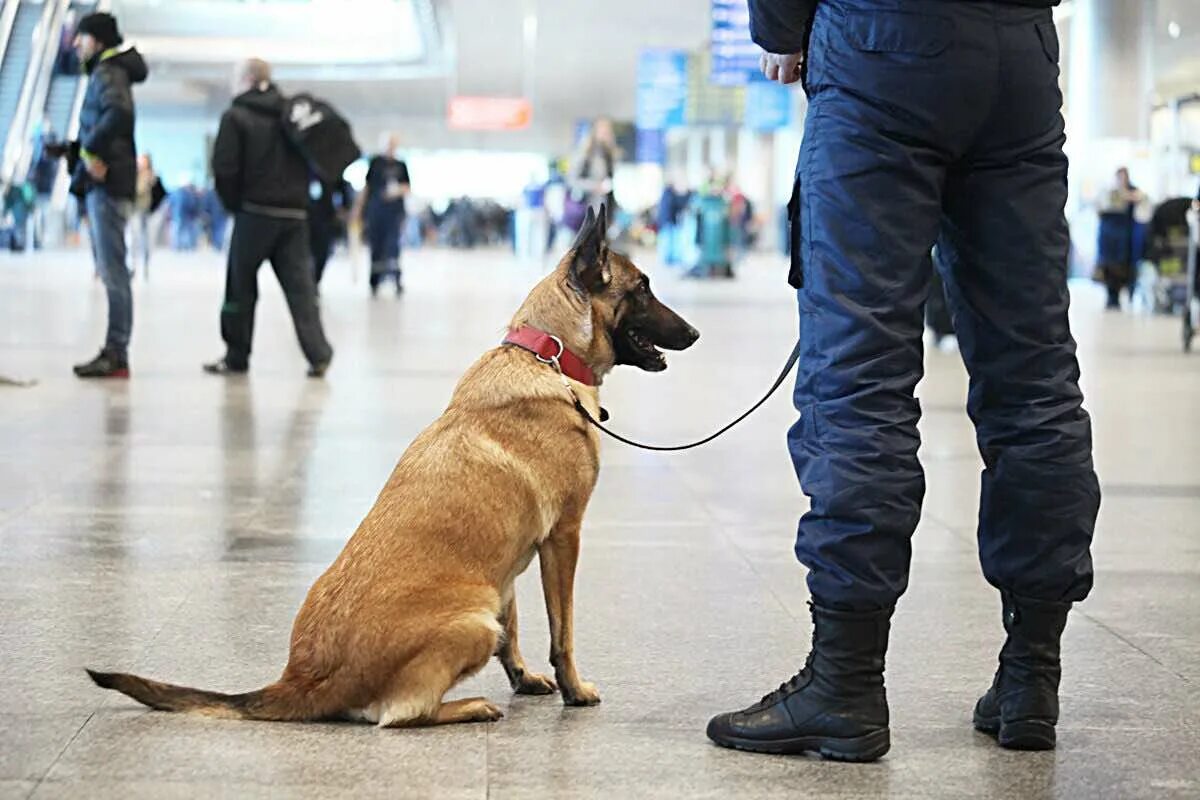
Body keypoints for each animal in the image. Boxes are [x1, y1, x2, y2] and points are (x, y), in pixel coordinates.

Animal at [88, 205, 700, 724]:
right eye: (643, 288)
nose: (694, 333)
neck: (545, 353)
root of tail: (302, 678)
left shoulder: (507, 568)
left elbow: (517, 629)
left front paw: (524, 677)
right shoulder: (563, 538)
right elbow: (561, 630)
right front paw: (574, 688)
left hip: (481, 600)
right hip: (472, 617)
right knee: (400, 714)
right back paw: (469, 706)